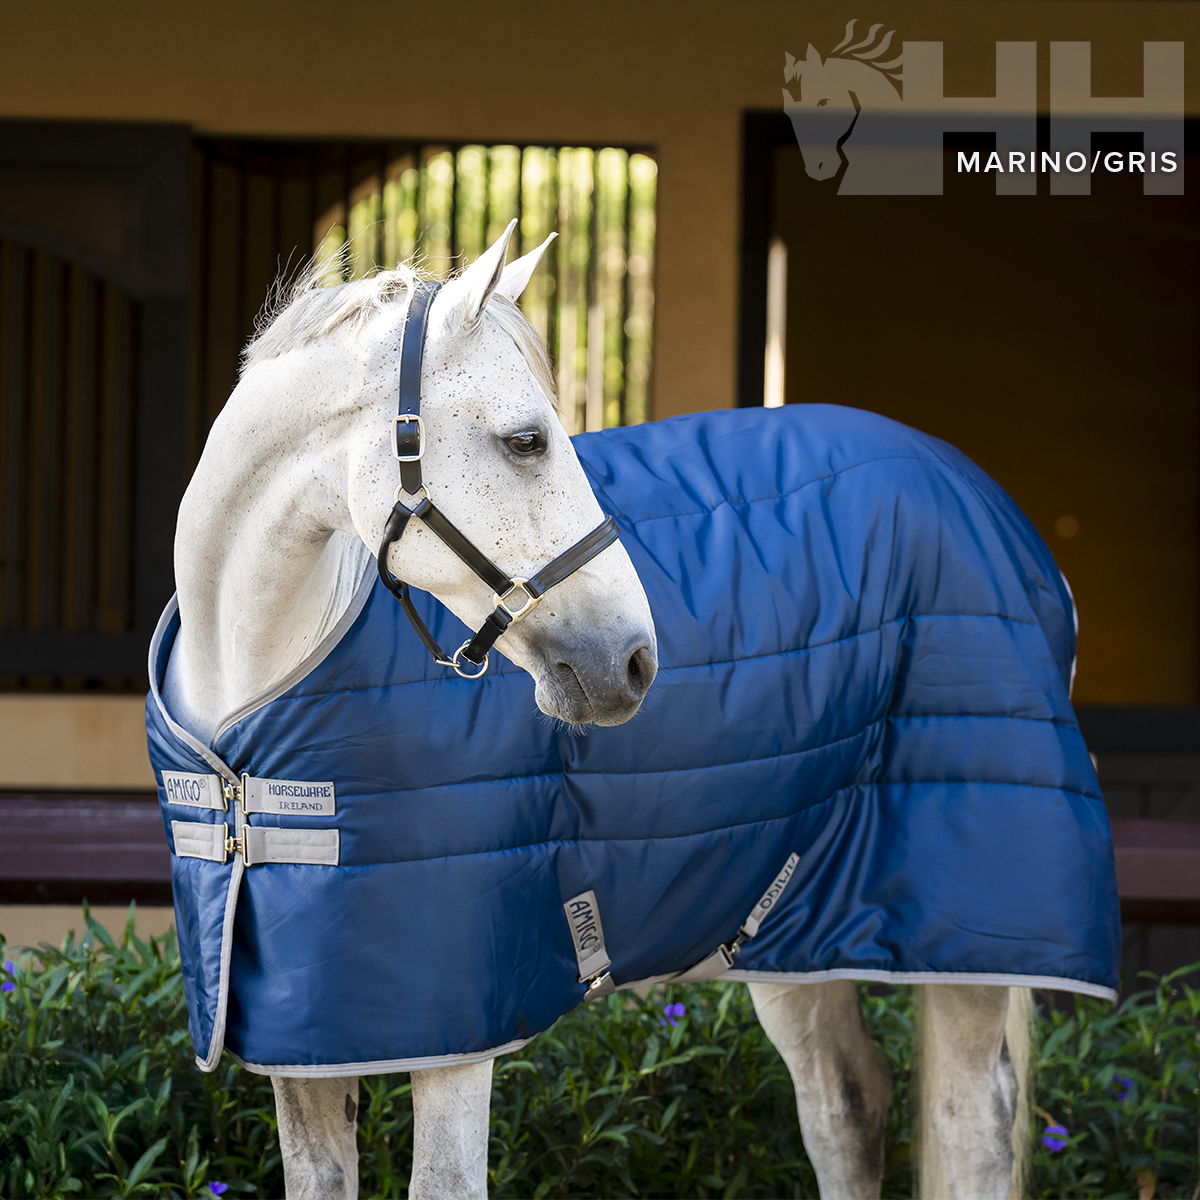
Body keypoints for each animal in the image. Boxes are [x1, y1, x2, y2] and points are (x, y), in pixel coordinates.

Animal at [153, 222, 1116, 1200]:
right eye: (527, 439)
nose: (633, 662)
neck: (245, 735)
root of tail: (993, 507)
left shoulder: (460, 1027)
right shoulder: (304, 1042)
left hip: (965, 941)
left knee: (972, 1128)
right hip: (792, 922)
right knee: (847, 1106)